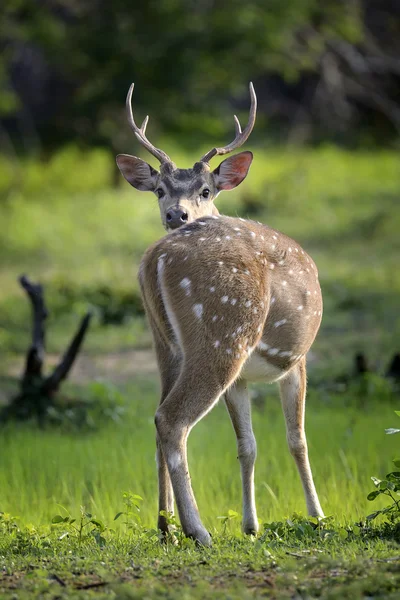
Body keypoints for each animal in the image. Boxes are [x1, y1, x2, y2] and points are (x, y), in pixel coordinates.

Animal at [116, 82, 324, 548]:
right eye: (159, 189)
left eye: (206, 190)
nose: (176, 213)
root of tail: (155, 258)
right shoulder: (297, 360)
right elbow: (298, 439)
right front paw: (319, 517)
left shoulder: (243, 379)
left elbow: (248, 445)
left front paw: (252, 525)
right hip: (222, 332)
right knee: (170, 419)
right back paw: (197, 530)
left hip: (166, 344)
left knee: (157, 418)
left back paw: (166, 527)